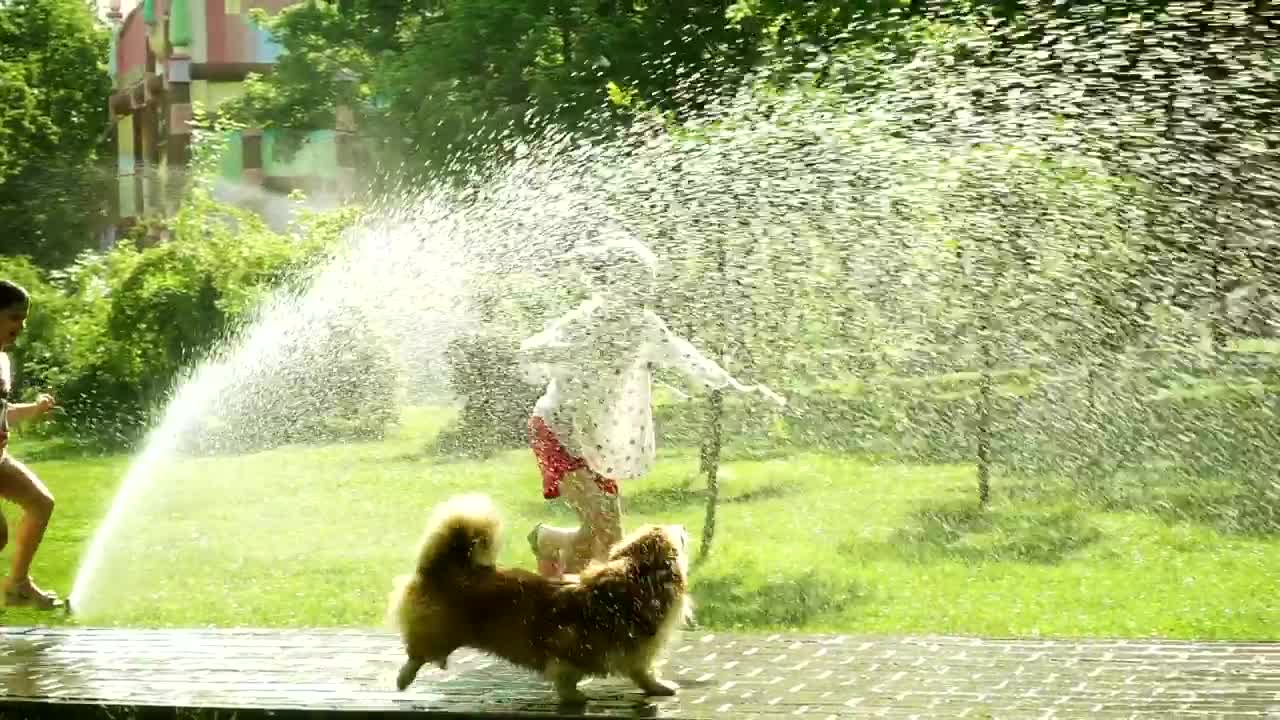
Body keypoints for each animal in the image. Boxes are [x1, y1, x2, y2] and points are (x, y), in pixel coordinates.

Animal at [386, 491, 696, 702]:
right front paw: (574, 697)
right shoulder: (575, 652)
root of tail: (442, 567)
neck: (635, 582)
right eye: (676, 537)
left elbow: (642, 674)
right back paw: (404, 678)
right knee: (416, 654)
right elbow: (570, 677)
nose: (684, 526)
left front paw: (657, 688)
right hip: (440, 632)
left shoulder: (633, 655)